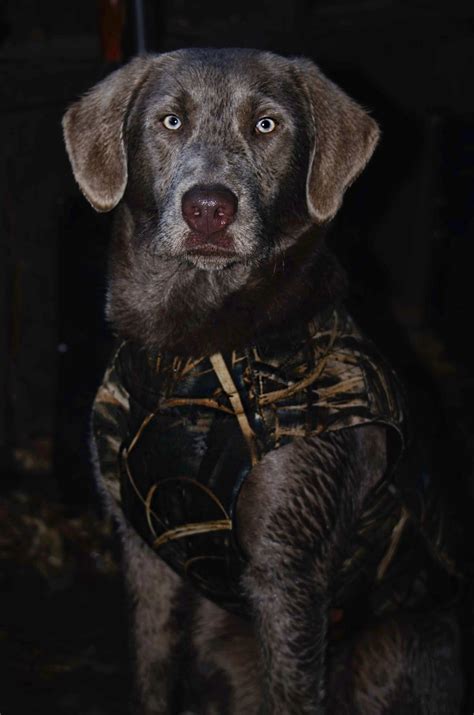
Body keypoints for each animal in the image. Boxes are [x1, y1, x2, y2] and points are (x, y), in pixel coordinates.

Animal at [63, 47, 462, 712]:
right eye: (171, 121)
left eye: (266, 126)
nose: (208, 208)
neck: (192, 352)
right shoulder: (141, 553)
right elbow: (153, 676)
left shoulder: (288, 571)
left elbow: (293, 691)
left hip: (388, 643)